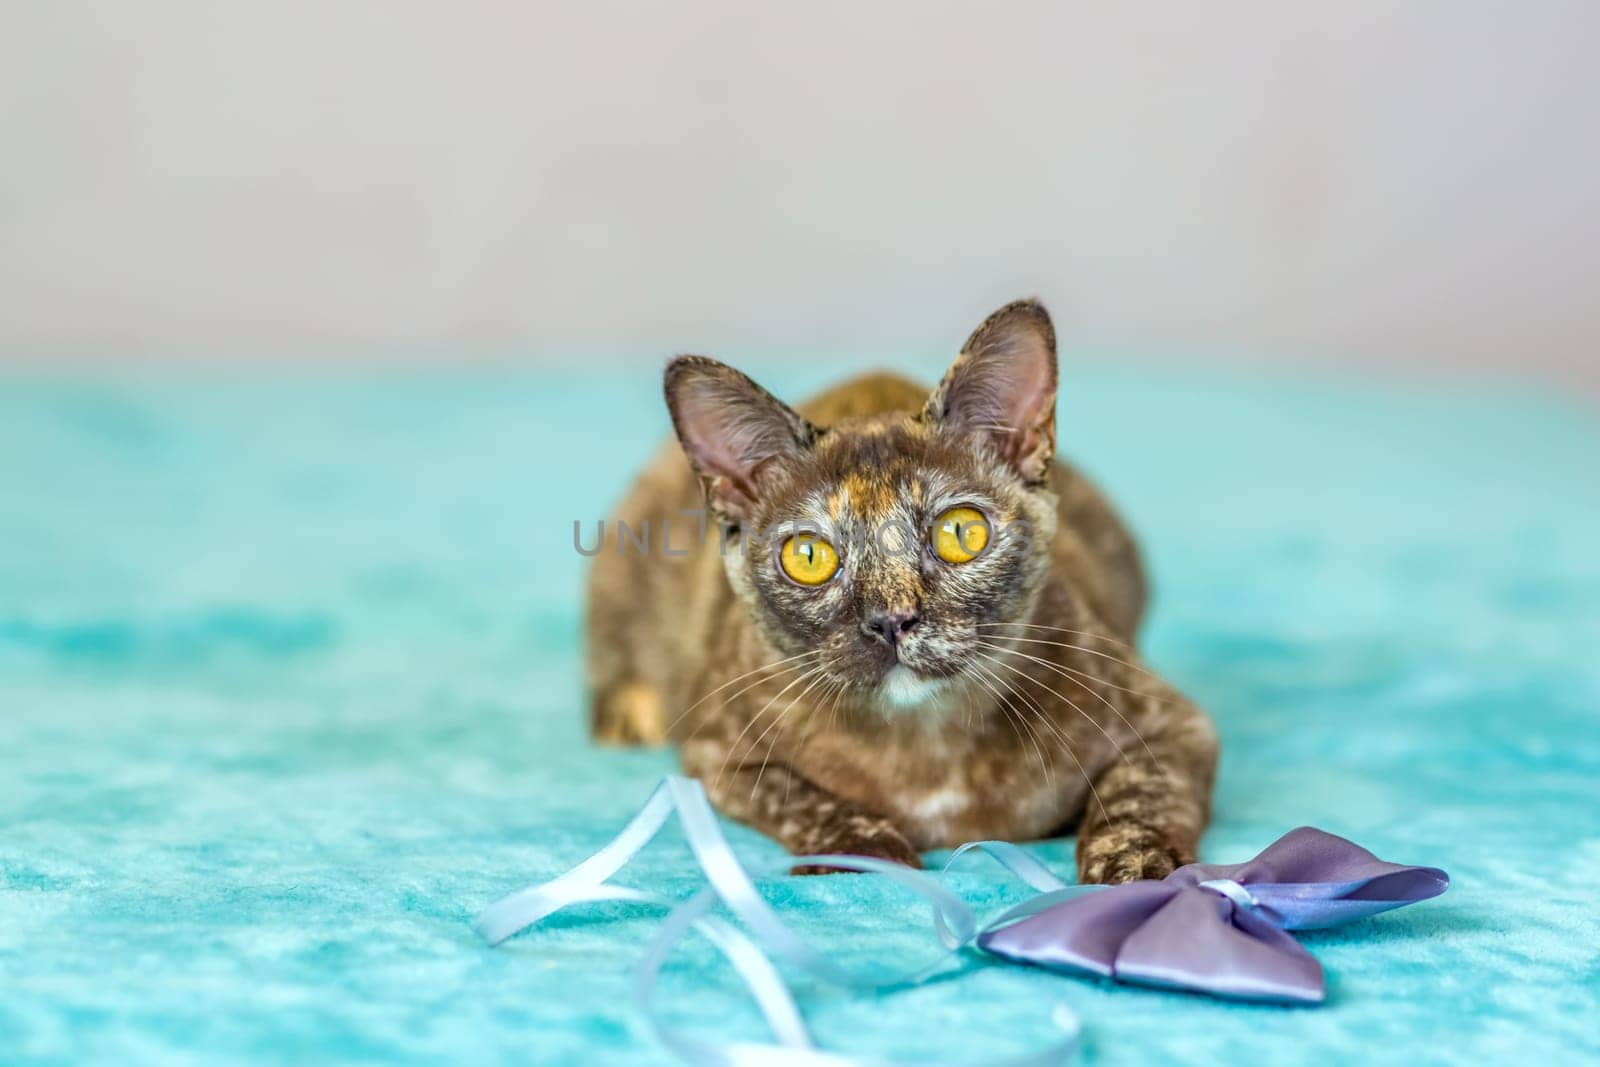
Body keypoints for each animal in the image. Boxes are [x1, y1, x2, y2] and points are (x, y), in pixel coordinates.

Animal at [582, 299, 1216, 883]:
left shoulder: (1175, 723)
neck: (927, 742)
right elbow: (798, 798)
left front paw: (1138, 866)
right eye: (808, 557)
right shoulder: (718, 754)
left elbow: (1138, 793)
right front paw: (862, 851)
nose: (892, 618)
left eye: (961, 532)